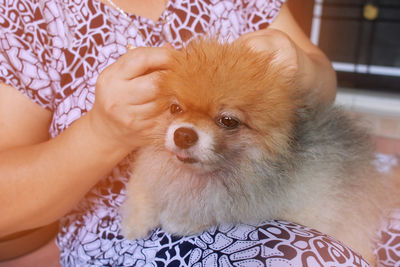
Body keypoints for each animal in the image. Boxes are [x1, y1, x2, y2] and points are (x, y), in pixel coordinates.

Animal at [120, 38, 398, 264]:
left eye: (228, 121)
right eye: (175, 108)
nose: (183, 134)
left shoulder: (246, 199)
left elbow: (208, 206)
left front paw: (179, 220)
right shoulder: (155, 171)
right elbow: (143, 190)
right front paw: (134, 222)